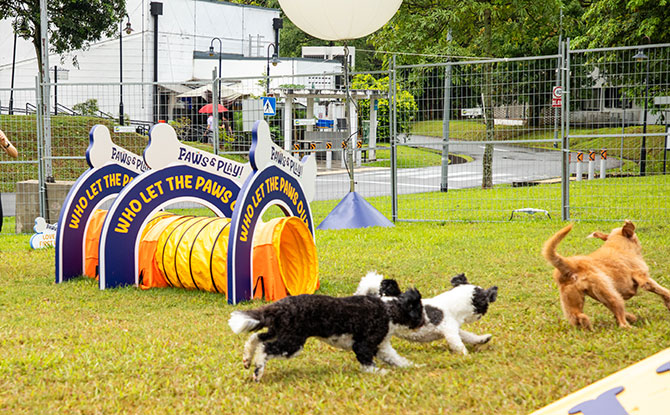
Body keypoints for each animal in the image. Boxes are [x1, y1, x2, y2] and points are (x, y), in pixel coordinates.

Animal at [230, 290, 426, 384]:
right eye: (420, 311)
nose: (424, 321)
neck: (388, 310)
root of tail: (280, 306)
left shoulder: (382, 347)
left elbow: (398, 359)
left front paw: (415, 367)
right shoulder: (363, 345)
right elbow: (368, 364)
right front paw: (380, 373)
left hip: (279, 332)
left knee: (256, 338)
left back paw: (247, 359)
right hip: (293, 341)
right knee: (265, 349)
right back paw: (258, 371)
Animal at [356, 272, 498, 356]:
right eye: (485, 307)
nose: (480, 316)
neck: (452, 304)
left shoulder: (453, 329)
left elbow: (468, 336)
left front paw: (482, 339)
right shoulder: (449, 331)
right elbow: (458, 344)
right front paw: (467, 356)